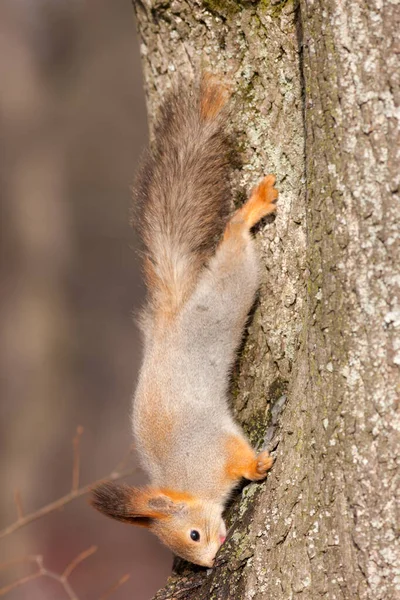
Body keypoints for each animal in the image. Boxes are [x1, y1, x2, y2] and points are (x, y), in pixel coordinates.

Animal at [90, 75, 278, 568]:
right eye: (190, 548)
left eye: (193, 535)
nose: (210, 563)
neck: (189, 484)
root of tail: (172, 318)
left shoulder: (214, 447)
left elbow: (239, 457)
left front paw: (258, 465)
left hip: (227, 294)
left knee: (233, 242)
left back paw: (252, 209)